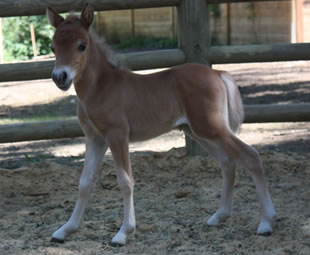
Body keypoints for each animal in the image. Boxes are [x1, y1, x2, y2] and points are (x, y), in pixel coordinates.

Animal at [47, 4, 274, 246]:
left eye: (82, 45)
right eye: (53, 46)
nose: (60, 77)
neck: (100, 87)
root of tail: (217, 72)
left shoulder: (117, 135)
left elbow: (125, 181)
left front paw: (123, 232)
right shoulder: (95, 138)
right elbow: (84, 182)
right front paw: (65, 230)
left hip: (211, 128)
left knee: (251, 156)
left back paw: (267, 222)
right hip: (198, 131)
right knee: (227, 162)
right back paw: (219, 216)